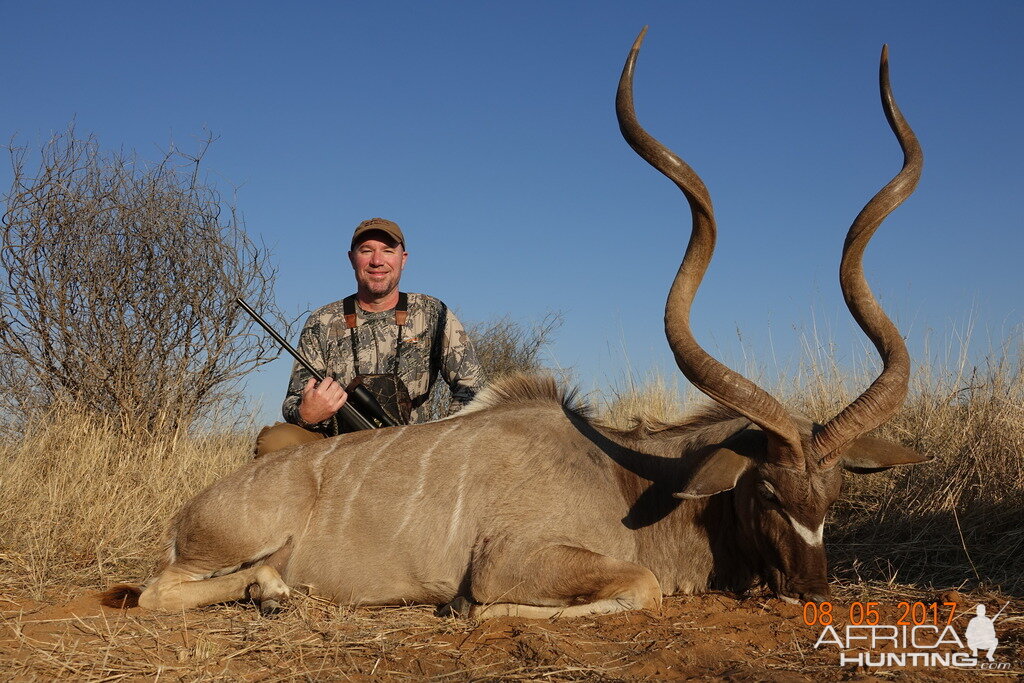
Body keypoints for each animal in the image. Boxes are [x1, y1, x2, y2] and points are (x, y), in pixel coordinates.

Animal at [101, 30, 929, 618]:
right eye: (765, 492)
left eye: (832, 496)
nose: (812, 591)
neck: (634, 476)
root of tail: (191, 510)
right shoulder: (515, 559)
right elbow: (632, 588)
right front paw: (468, 608)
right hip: (228, 542)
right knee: (158, 591)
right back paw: (271, 590)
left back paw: (273, 589)